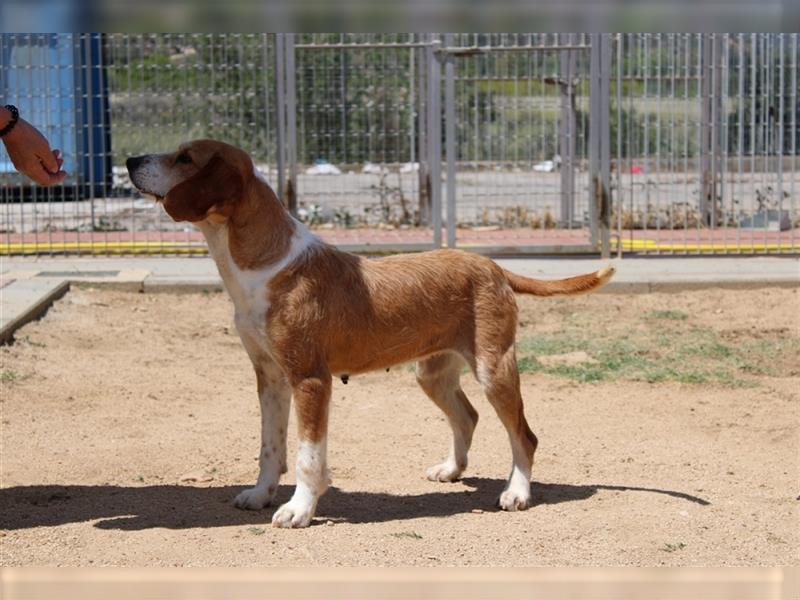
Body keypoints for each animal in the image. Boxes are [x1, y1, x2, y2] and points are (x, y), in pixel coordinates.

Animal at [125, 141, 616, 524]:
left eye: (185, 157)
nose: (129, 159)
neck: (264, 265)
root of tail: (492, 265)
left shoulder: (310, 380)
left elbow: (306, 457)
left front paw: (299, 510)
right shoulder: (270, 378)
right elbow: (270, 448)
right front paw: (261, 494)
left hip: (494, 370)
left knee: (524, 436)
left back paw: (517, 493)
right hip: (432, 374)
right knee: (467, 416)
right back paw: (451, 470)